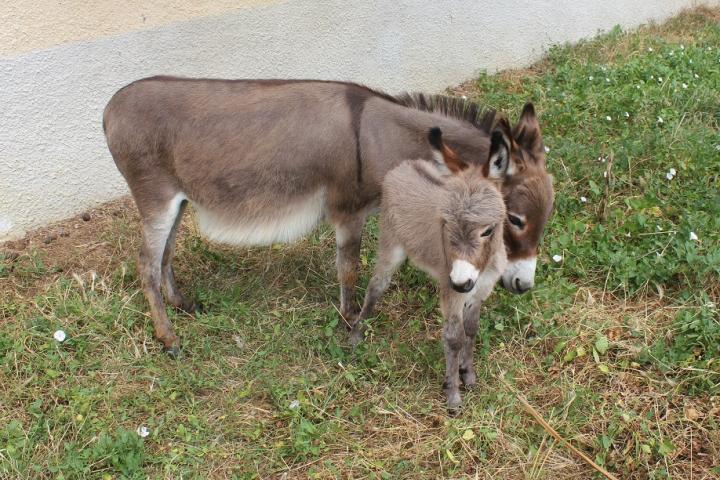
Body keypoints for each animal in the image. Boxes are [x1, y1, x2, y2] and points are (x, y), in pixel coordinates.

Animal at [352, 127, 510, 408]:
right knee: (376, 285)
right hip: (391, 245)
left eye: (488, 230)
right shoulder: (452, 295)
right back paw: (358, 332)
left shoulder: (479, 292)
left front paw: (468, 374)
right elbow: (454, 338)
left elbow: (471, 330)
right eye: (445, 224)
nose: (460, 282)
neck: (484, 266)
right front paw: (453, 394)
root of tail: (403, 166)